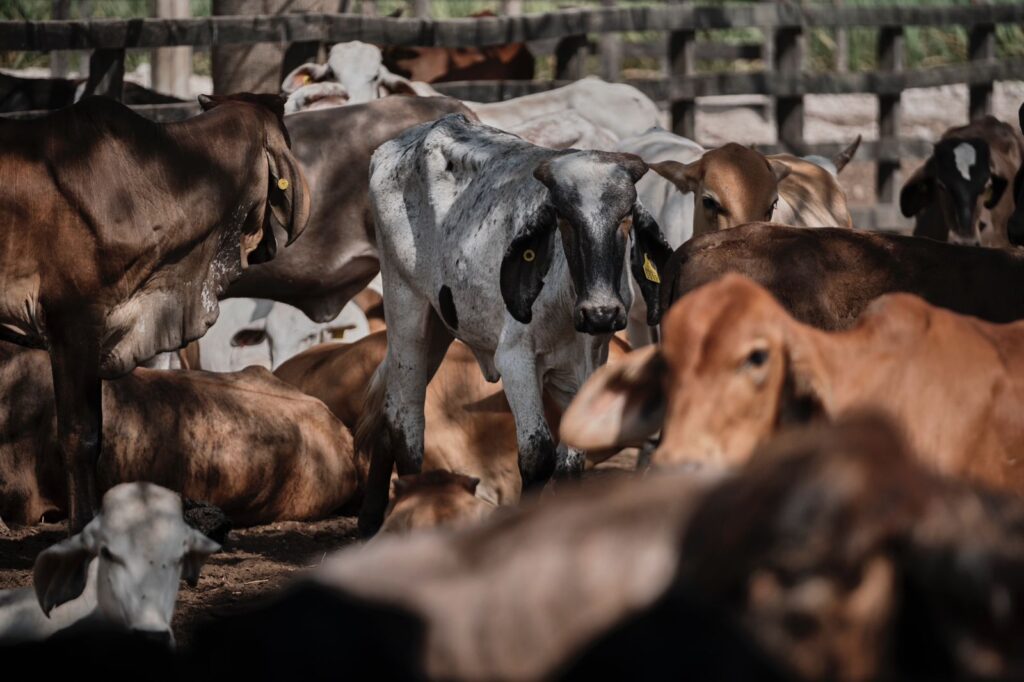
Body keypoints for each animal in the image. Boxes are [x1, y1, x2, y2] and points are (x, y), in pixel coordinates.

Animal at [360, 114, 671, 532]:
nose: (601, 313)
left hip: (439, 326)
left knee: (387, 409)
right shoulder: (516, 361)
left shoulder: (590, 362)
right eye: (563, 219)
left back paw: (370, 520)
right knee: (405, 421)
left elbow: (572, 459)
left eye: (625, 219)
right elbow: (537, 455)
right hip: (406, 307)